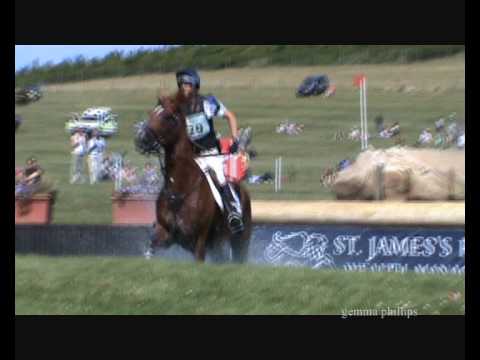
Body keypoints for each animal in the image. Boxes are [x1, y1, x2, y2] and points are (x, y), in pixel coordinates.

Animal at [141, 95, 253, 264]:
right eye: (151, 114)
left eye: (167, 117)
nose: (141, 139)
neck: (180, 187)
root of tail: (244, 192)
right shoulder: (166, 233)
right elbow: (150, 248)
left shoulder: (199, 240)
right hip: (218, 244)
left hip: (240, 240)